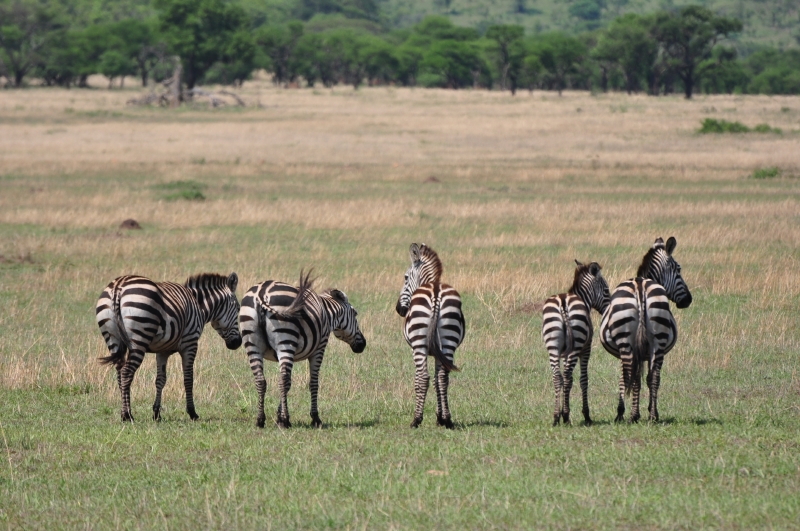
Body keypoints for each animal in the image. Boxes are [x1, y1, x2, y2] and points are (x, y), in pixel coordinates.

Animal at [95, 272, 242, 422]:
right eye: (238, 308)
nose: (238, 343)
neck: (199, 305)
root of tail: (118, 286)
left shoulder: (162, 351)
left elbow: (160, 380)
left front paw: (156, 414)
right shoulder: (190, 343)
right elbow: (188, 379)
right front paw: (192, 412)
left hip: (113, 339)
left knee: (119, 374)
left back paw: (123, 412)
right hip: (139, 338)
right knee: (126, 373)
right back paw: (128, 415)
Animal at [238, 271, 366, 428]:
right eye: (355, 314)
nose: (363, 344)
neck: (328, 313)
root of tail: (261, 293)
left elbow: (288, 384)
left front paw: (278, 415)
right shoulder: (320, 347)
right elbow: (313, 383)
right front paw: (315, 418)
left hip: (252, 344)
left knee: (261, 380)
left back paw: (260, 419)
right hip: (286, 340)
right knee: (283, 380)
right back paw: (286, 420)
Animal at [396, 243, 465, 429]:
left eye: (405, 277)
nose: (399, 309)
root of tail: (435, 292)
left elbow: (428, 379)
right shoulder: (437, 352)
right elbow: (437, 379)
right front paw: (440, 417)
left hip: (418, 344)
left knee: (422, 378)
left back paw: (416, 419)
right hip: (449, 337)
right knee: (443, 377)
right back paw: (447, 420)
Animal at [542, 260, 610, 426]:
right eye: (606, 290)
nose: (610, 308)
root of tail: (563, 301)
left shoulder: (565, 353)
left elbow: (570, 380)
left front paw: (561, 412)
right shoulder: (586, 349)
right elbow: (583, 380)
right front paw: (586, 415)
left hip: (552, 346)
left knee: (557, 377)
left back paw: (556, 417)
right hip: (576, 345)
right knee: (566, 376)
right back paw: (565, 416)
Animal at [600, 237, 693, 423]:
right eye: (679, 270)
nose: (688, 299)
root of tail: (640, 286)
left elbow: (631, 379)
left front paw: (631, 412)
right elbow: (647, 378)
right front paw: (649, 410)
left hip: (627, 342)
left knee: (630, 374)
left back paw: (627, 414)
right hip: (658, 340)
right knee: (654, 376)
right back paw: (652, 415)